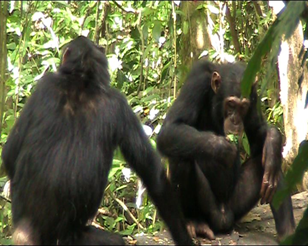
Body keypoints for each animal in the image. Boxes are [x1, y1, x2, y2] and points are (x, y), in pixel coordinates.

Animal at [158, 60, 294, 242]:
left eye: (243, 107)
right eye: (231, 104)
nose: (235, 121)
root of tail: (224, 219)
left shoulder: (253, 95)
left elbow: (257, 133)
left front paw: (273, 141)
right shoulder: (196, 82)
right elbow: (170, 128)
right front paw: (225, 149)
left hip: (236, 206)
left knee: (268, 165)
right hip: (210, 211)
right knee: (180, 157)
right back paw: (194, 222)